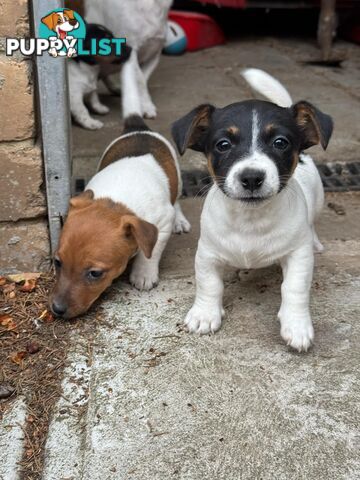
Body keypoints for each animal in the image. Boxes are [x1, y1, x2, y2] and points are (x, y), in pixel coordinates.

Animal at [51, 62, 191, 318]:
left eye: (95, 273)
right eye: (58, 262)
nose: (57, 309)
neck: (117, 201)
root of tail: (137, 127)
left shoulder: (161, 223)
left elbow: (150, 252)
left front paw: (143, 274)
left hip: (177, 177)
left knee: (176, 199)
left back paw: (181, 220)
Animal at [170, 68, 334, 352]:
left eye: (280, 142)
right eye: (223, 145)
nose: (251, 178)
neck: (250, 220)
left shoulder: (298, 256)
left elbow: (295, 288)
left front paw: (297, 325)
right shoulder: (207, 253)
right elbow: (209, 284)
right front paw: (205, 314)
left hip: (318, 202)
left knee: (311, 224)